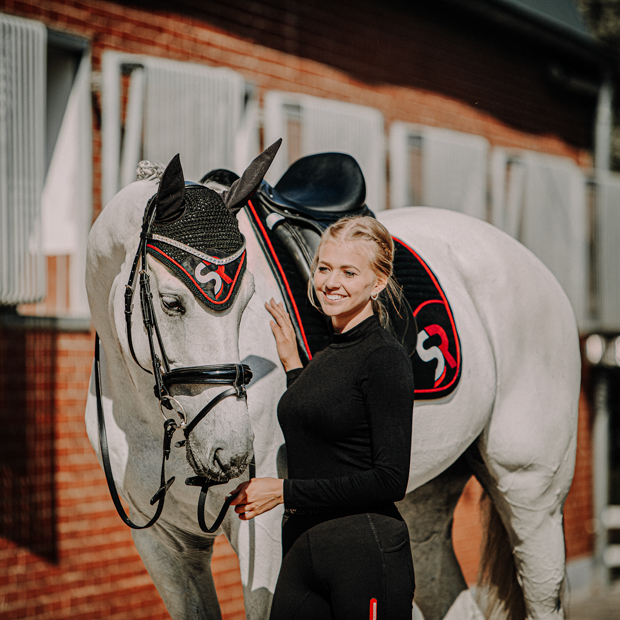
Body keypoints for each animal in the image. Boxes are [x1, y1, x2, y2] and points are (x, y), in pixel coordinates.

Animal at [86, 150, 580, 620]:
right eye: (172, 303)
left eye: (246, 300)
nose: (232, 452)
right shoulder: (165, 546)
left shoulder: (263, 534)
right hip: (422, 498)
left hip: (531, 489)